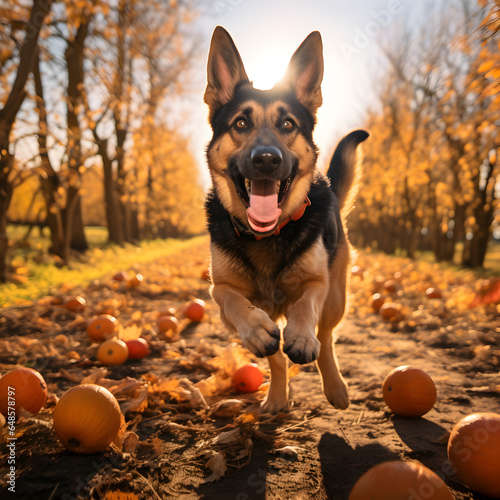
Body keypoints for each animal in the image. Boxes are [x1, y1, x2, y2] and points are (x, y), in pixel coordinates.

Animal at [202, 25, 368, 412]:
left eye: (288, 124)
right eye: (241, 122)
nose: (266, 159)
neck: (266, 236)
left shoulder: (317, 283)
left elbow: (305, 306)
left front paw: (301, 336)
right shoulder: (220, 292)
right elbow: (243, 314)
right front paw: (275, 388)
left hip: (337, 297)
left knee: (327, 337)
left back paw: (335, 387)